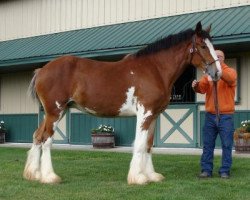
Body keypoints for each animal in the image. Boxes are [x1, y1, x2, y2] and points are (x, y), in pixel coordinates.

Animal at [23, 21, 222, 184]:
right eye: (203, 46)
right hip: (55, 112)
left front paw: (152, 175)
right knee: (46, 140)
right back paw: (49, 177)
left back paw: (34, 174)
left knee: (37, 136)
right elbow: (140, 144)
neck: (154, 70)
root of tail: (42, 70)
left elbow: (148, 145)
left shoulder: (154, 115)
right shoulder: (145, 113)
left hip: (55, 112)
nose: (217, 72)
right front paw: (138, 177)